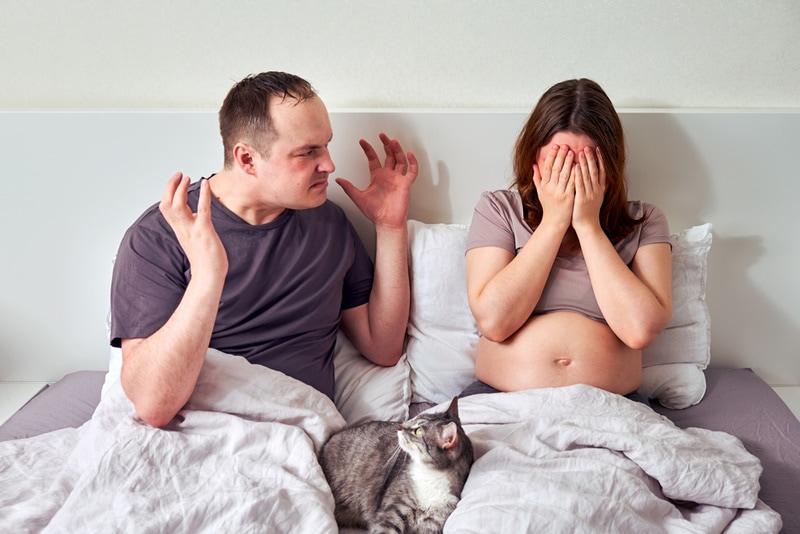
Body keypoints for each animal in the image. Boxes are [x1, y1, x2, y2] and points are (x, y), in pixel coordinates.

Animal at [318, 398, 472, 534]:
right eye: (415, 418)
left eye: (418, 431)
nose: (399, 426)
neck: (431, 476)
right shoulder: (393, 511)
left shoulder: (431, 525)